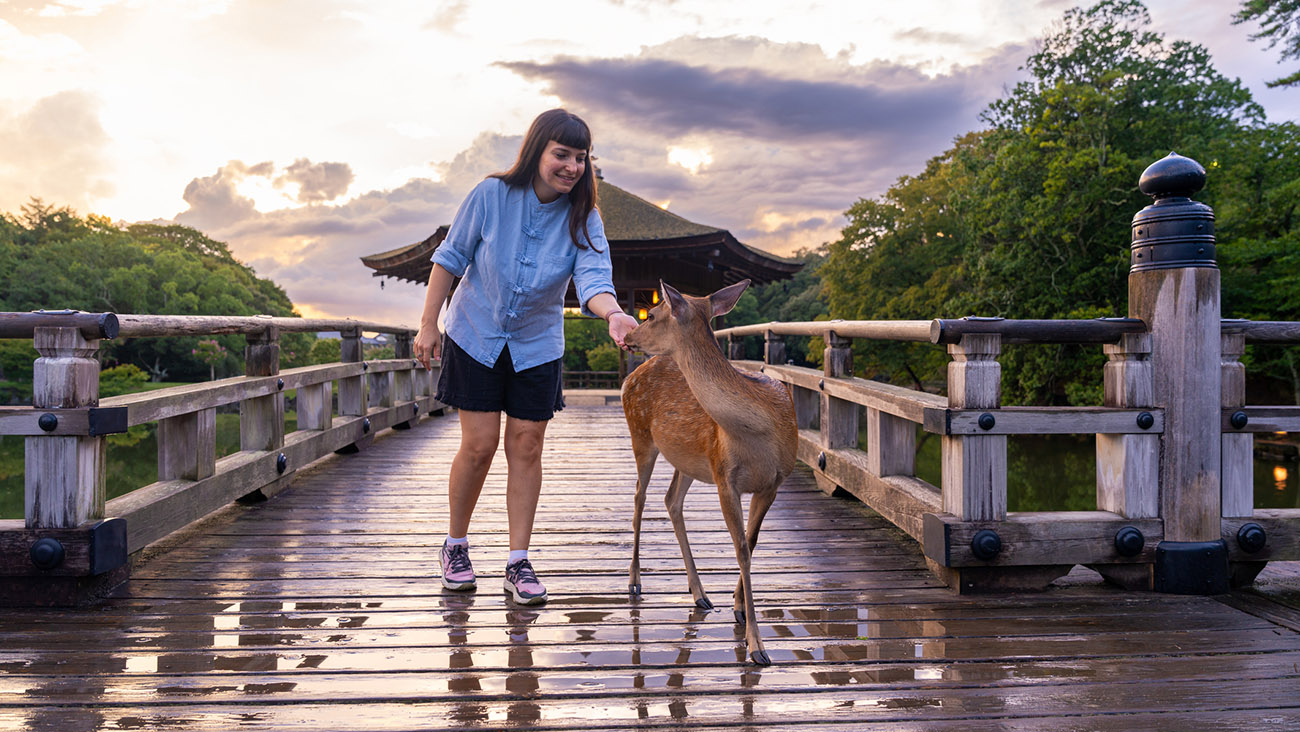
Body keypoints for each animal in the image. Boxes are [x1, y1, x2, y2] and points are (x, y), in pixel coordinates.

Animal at [621, 279, 797, 666]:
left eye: (651, 315)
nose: (627, 334)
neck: (758, 432)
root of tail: (630, 377)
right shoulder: (724, 475)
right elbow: (741, 548)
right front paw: (757, 646)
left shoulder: (774, 482)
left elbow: (750, 542)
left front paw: (739, 608)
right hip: (641, 436)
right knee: (639, 497)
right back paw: (634, 581)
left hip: (688, 459)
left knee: (671, 499)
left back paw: (699, 592)